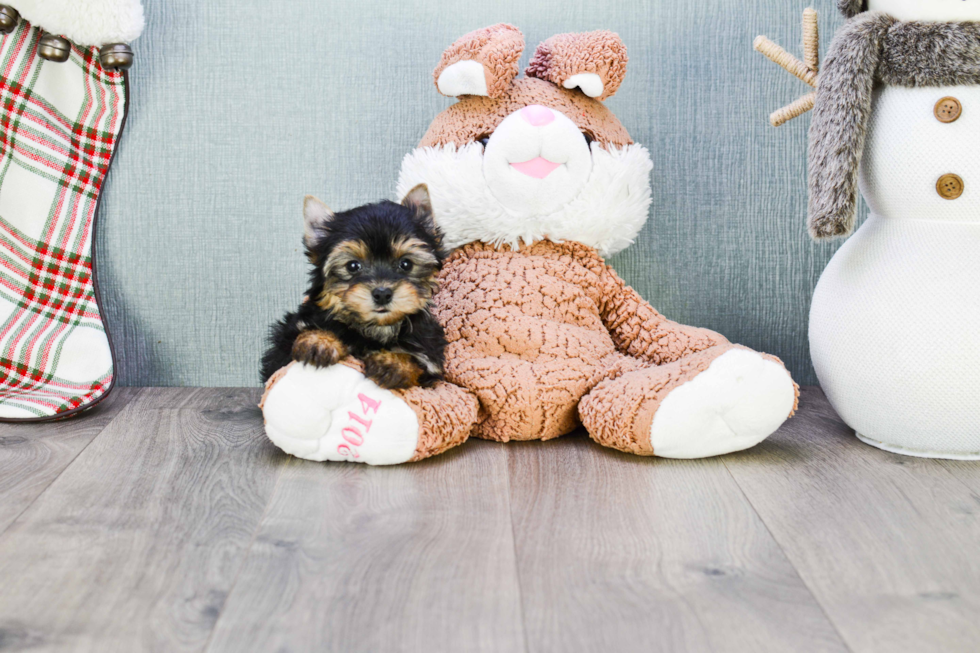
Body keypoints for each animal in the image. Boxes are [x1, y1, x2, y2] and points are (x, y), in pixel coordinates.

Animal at [258, 183, 446, 388]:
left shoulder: (431, 357)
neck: (374, 329)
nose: (382, 293)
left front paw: (394, 363)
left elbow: (419, 363)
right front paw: (320, 340)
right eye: (353, 266)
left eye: (406, 264)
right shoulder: (283, 345)